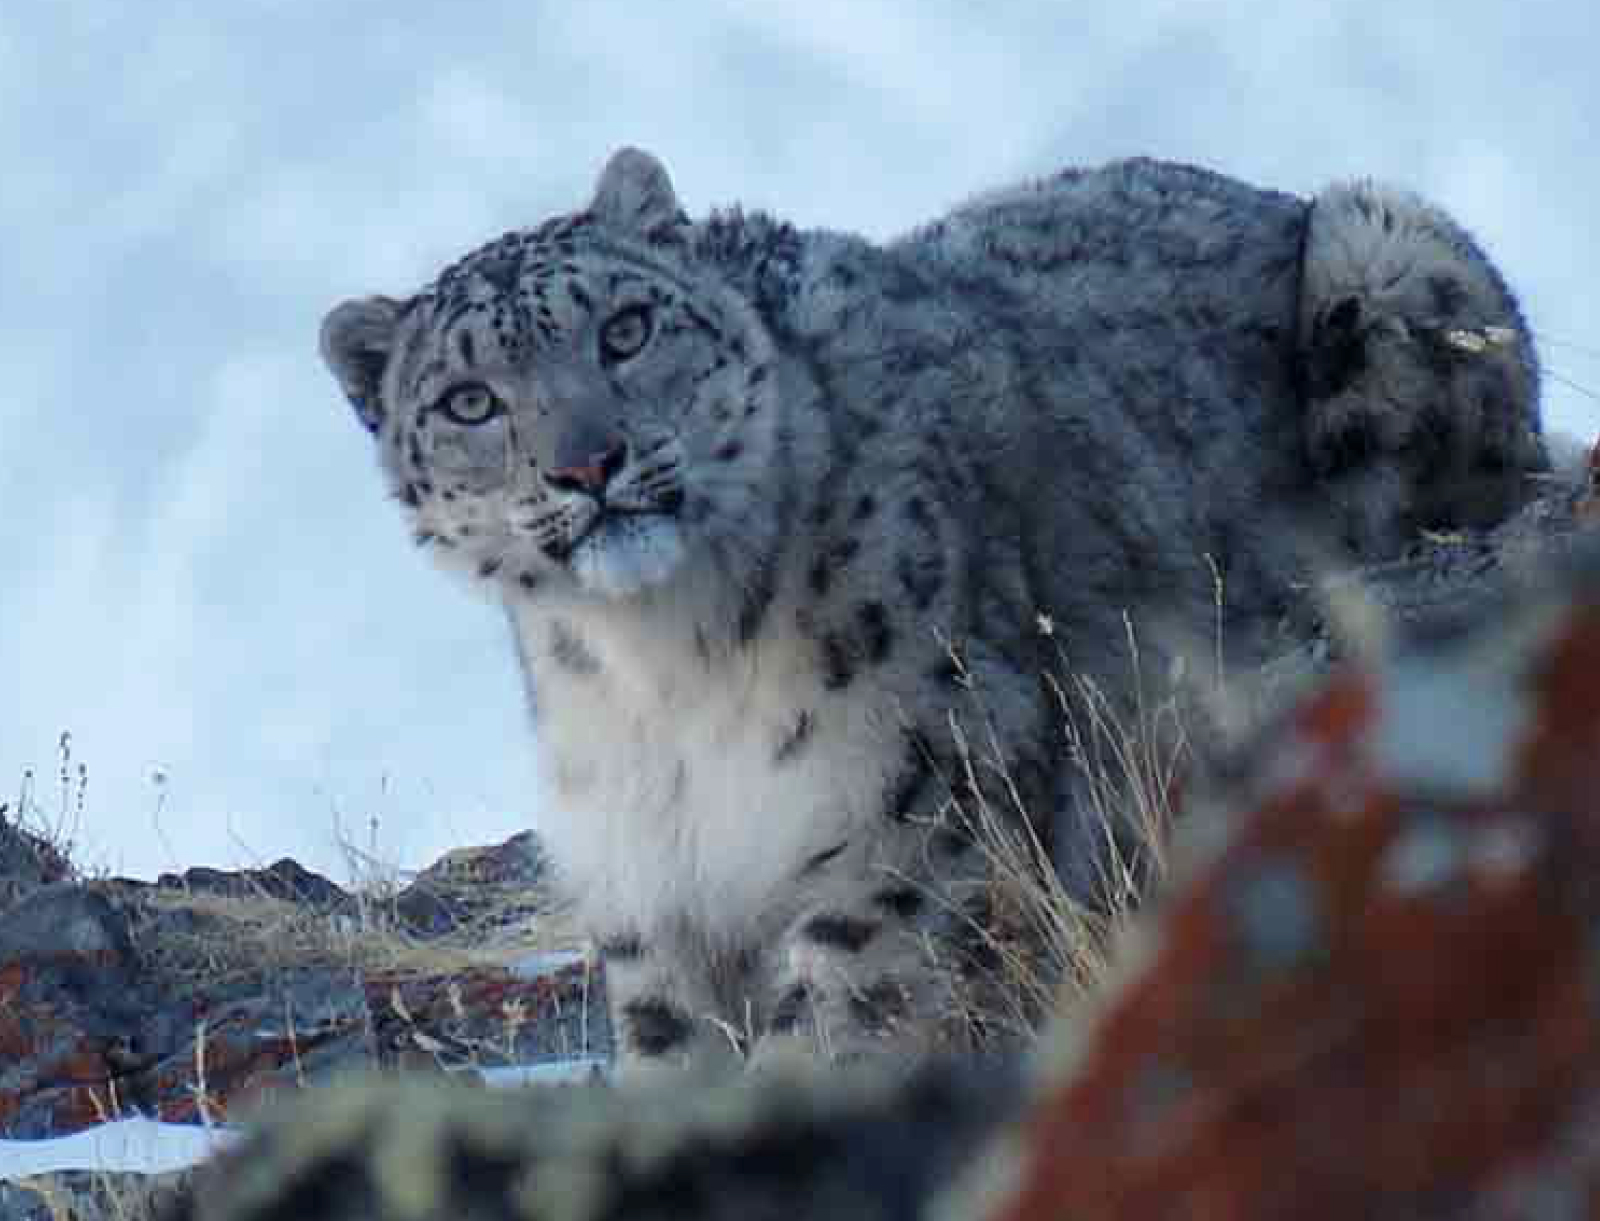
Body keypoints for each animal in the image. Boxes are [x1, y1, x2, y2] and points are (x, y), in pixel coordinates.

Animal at [318, 148, 1542, 1075]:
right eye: (468, 400)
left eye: (624, 329)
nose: (588, 462)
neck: (664, 667)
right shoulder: (649, 892)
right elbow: (671, 1054)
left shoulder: (913, 815)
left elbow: (836, 1022)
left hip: (1384, 245)